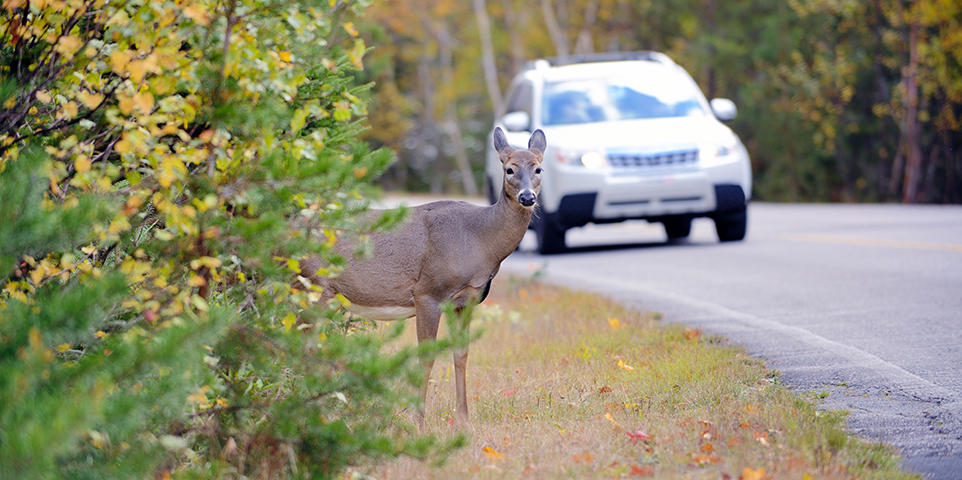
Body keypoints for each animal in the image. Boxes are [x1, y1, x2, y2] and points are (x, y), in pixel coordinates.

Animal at [304, 126, 544, 424]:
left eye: (538, 168)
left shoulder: (466, 300)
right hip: (313, 285)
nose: (527, 197)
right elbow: (425, 357)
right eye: (509, 169)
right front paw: (418, 420)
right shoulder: (428, 292)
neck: (479, 238)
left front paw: (463, 419)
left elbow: (461, 354)